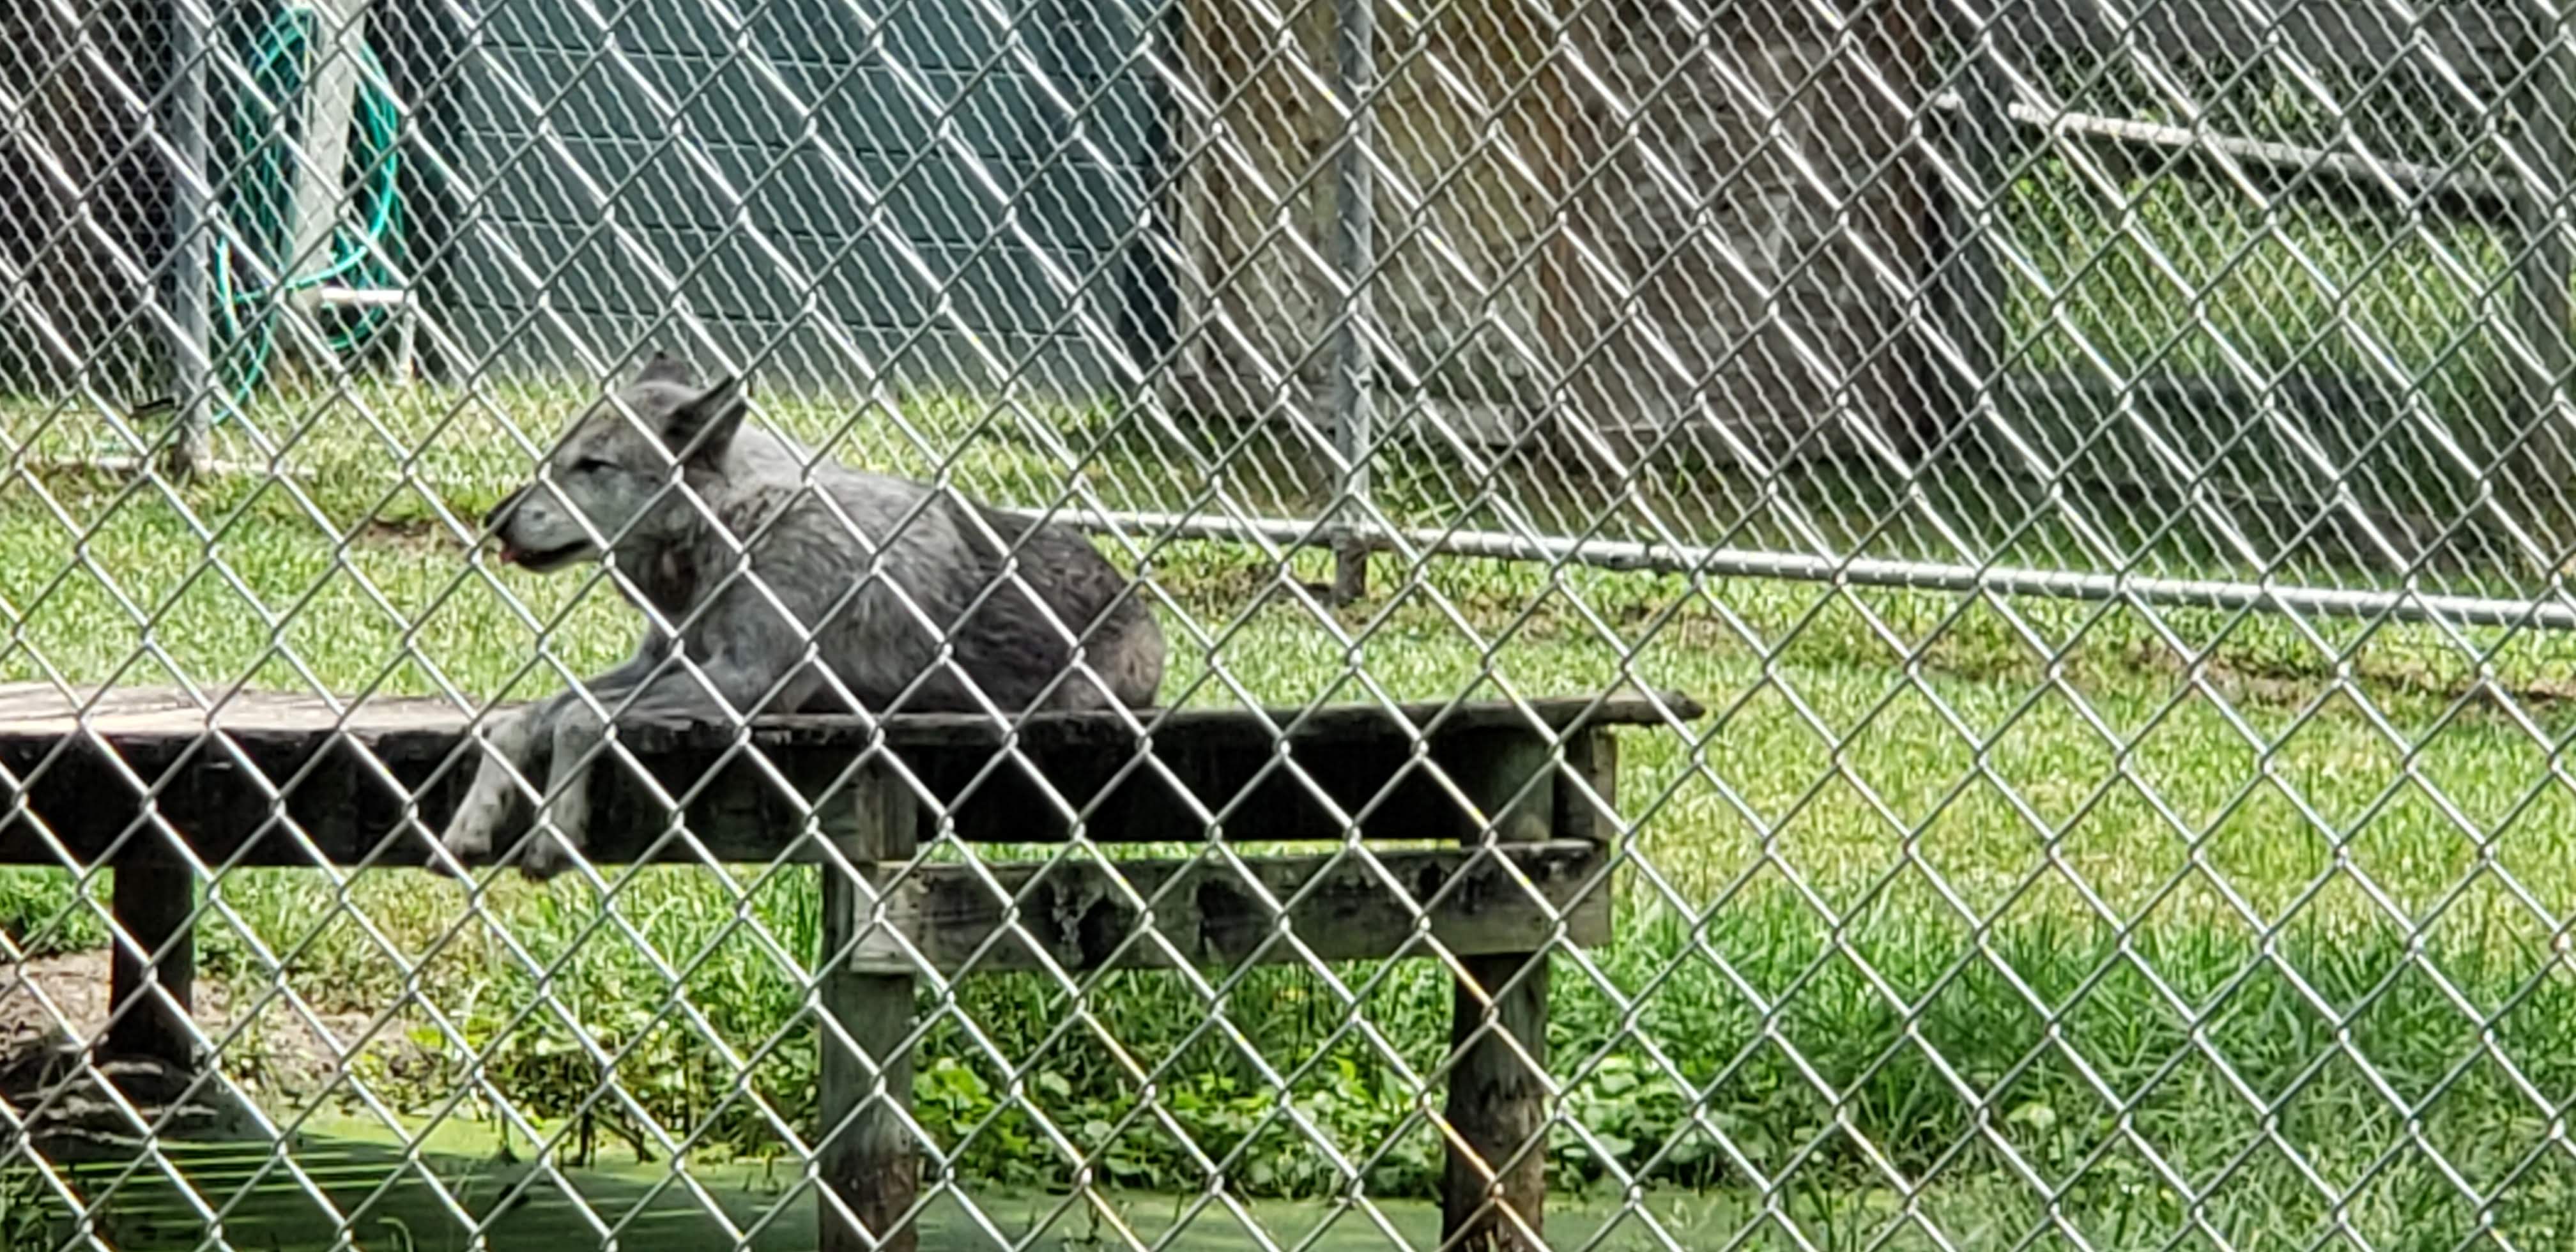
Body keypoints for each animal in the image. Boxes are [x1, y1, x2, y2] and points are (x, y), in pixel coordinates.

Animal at [443, 353, 1169, 881]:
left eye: (592, 466)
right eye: (554, 460)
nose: (494, 519)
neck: (736, 531)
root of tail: (1142, 607)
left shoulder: (749, 681)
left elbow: (578, 719)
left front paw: (554, 833)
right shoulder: (665, 662)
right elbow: (522, 717)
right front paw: (472, 822)